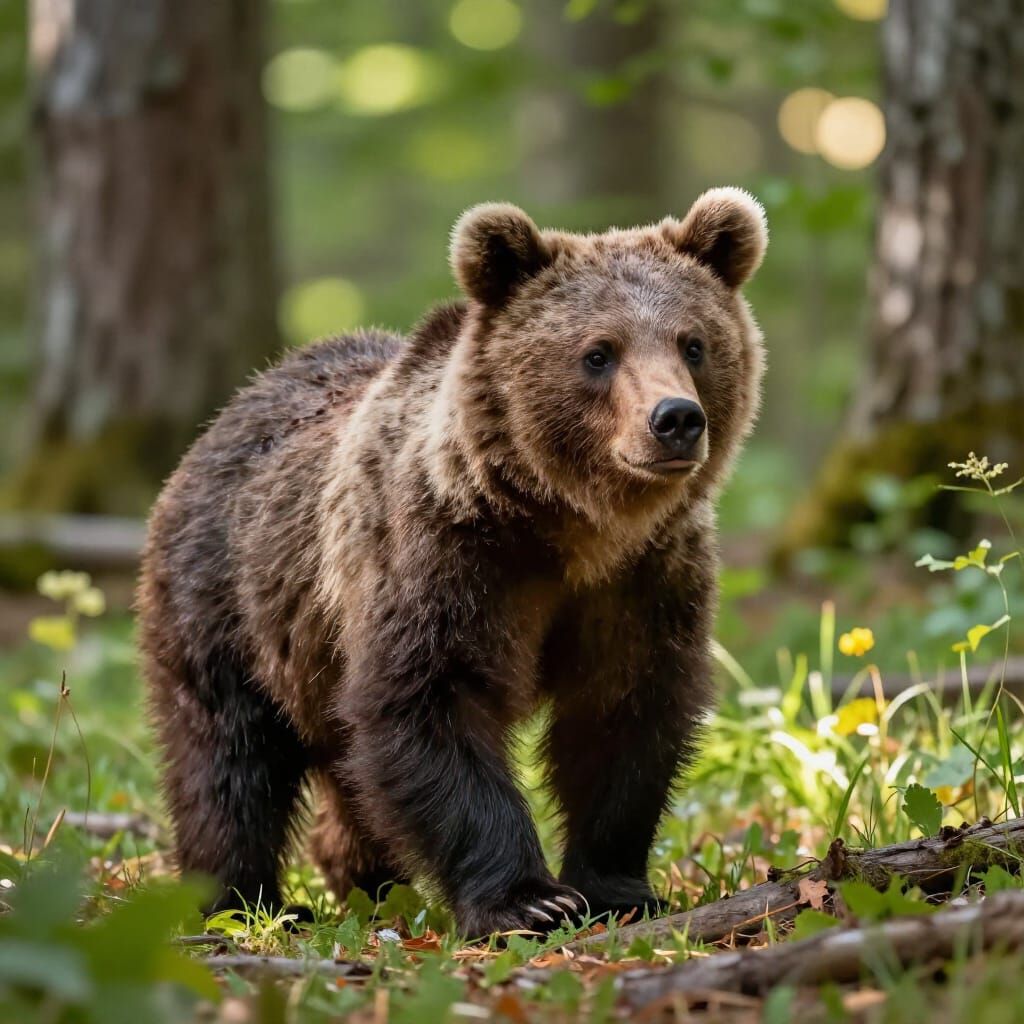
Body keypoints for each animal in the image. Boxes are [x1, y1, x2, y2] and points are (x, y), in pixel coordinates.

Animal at [137, 187, 767, 937]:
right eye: (598, 352)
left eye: (693, 343)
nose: (674, 419)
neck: (570, 528)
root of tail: (236, 404)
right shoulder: (444, 558)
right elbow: (430, 701)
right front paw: (528, 898)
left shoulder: (644, 579)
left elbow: (626, 711)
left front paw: (618, 887)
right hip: (227, 600)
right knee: (228, 757)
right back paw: (245, 900)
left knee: (344, 771)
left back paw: (365, 879)